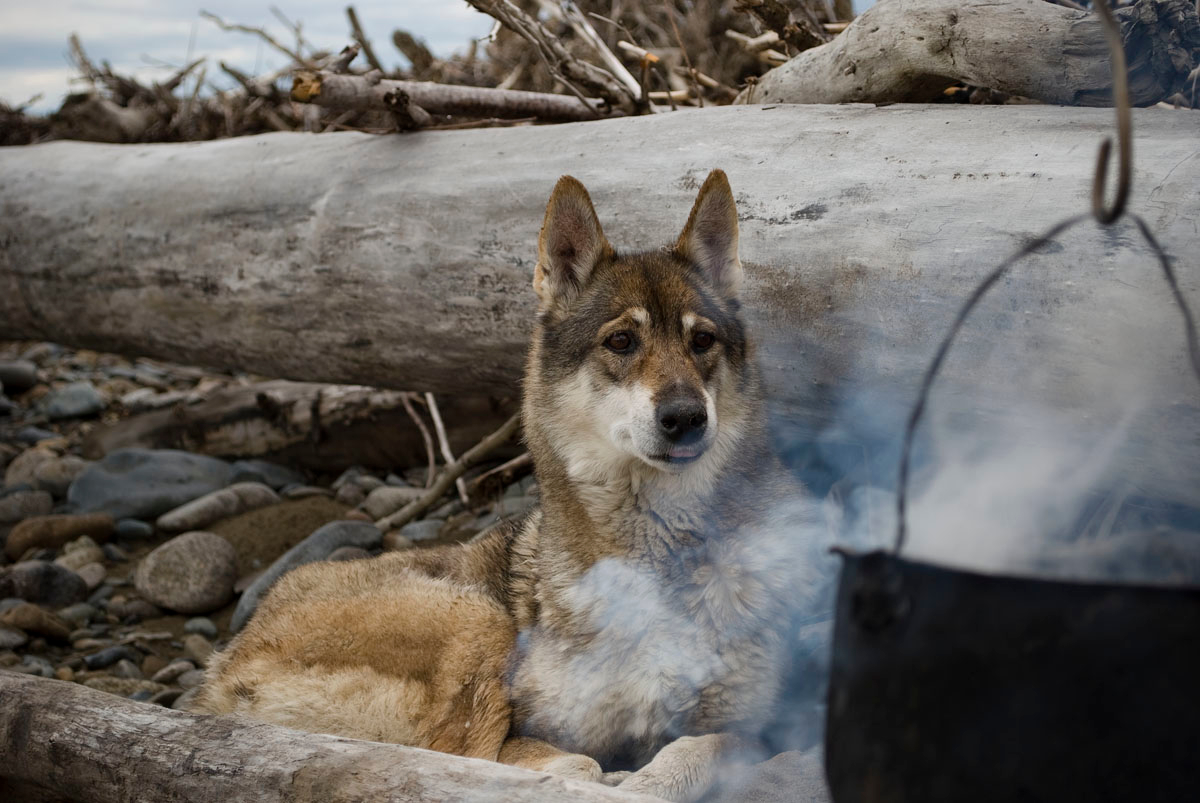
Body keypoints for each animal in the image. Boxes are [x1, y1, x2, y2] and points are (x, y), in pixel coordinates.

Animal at [194, 170, 816, 801]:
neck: (656, 558)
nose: (686, 417)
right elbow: (570, 761)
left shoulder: (754, 726)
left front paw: (650, 775)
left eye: (702, 341)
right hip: (479, 619)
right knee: (451, 759)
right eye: (620, 342)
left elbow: (700, 747)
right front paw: (617, 777)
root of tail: (220, 670)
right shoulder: (532, 730)